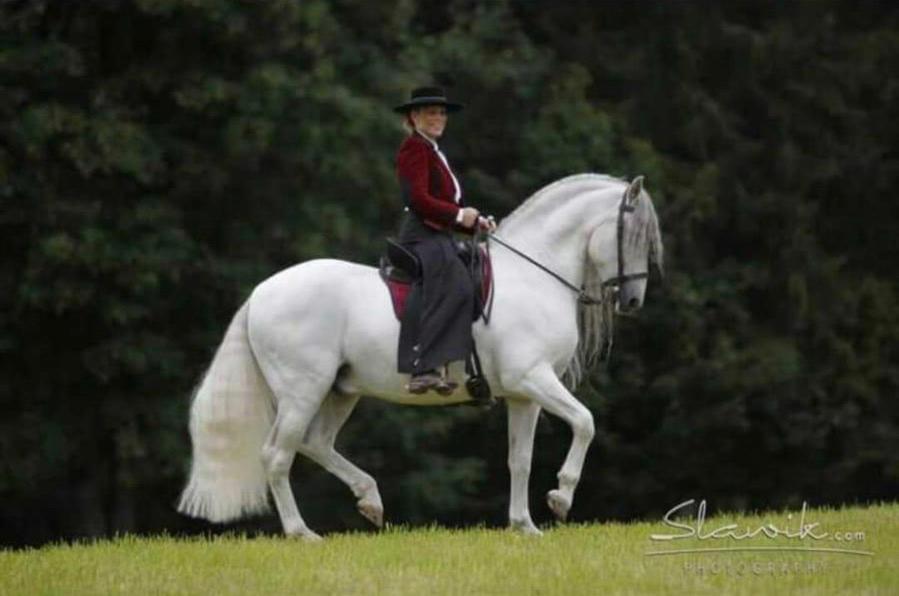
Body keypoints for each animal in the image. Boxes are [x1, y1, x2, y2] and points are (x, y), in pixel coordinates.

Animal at [177, 173, 664, 540]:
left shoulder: (523, 395)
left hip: (340, 390)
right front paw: (561, 497)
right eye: (634, 235)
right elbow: (585, 422)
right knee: (278, 454)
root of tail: (261, 292)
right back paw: (303, 533)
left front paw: (524, 526)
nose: (634, 301)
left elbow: (519, 459)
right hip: (303, 391)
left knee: (315, 443)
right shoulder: (534, 378)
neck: (534, 274)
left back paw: (370, 501)